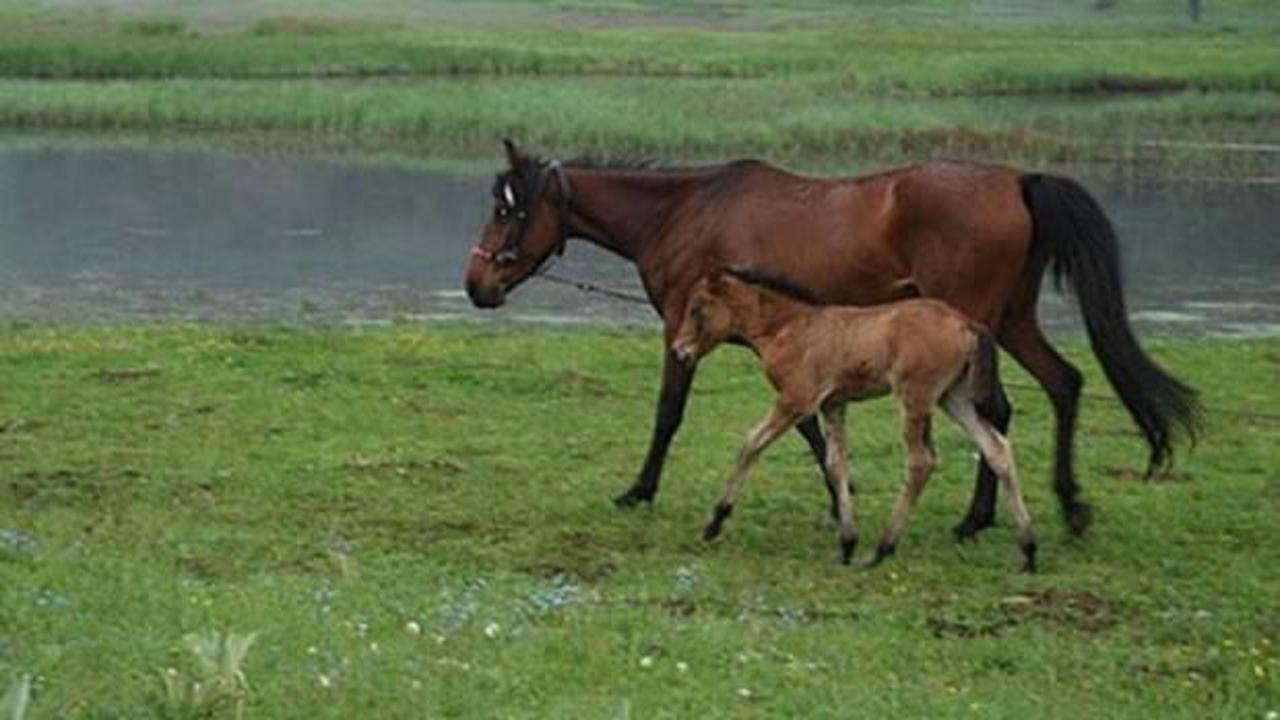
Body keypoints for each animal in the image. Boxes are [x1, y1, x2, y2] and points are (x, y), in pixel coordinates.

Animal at [468, 137, 1198, 535]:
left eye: (510, 211)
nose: (476, 284)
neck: (683, 212)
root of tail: (1018, 181)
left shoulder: (683, 333)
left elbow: (669, 414)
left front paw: (638, 490)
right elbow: (811, 428)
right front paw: (836, 495)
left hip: (978, 327)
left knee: (998, 408)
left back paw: (978, 517)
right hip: (1012, 321)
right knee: (1061, 386)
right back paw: (1063, 506)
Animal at [670, 269, 1039, 571]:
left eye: (696, 309)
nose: (679, 351)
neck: (788, 328)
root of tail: (966, 323)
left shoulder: (795, 402)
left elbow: (750, 444)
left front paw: (715, 521)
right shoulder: (833, 405)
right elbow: (837, 464)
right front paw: (847, 542)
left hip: (916, 397)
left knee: (922, 461)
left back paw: (883, 549)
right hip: (953, 397)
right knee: (996, 448)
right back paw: (1028, 551)